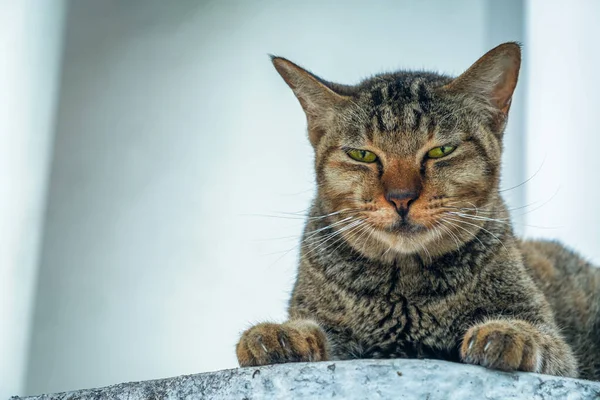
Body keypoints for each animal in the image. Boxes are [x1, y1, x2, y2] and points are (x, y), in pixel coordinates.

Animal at [234, 43, 600, 382]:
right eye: (363, 155)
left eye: (441, 150)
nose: (401, 198)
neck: (404, 287)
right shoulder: (333, 327)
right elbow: (314, 328)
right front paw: (279, 334)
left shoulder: (552, 340)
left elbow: (541, 338)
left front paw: (508, 332)